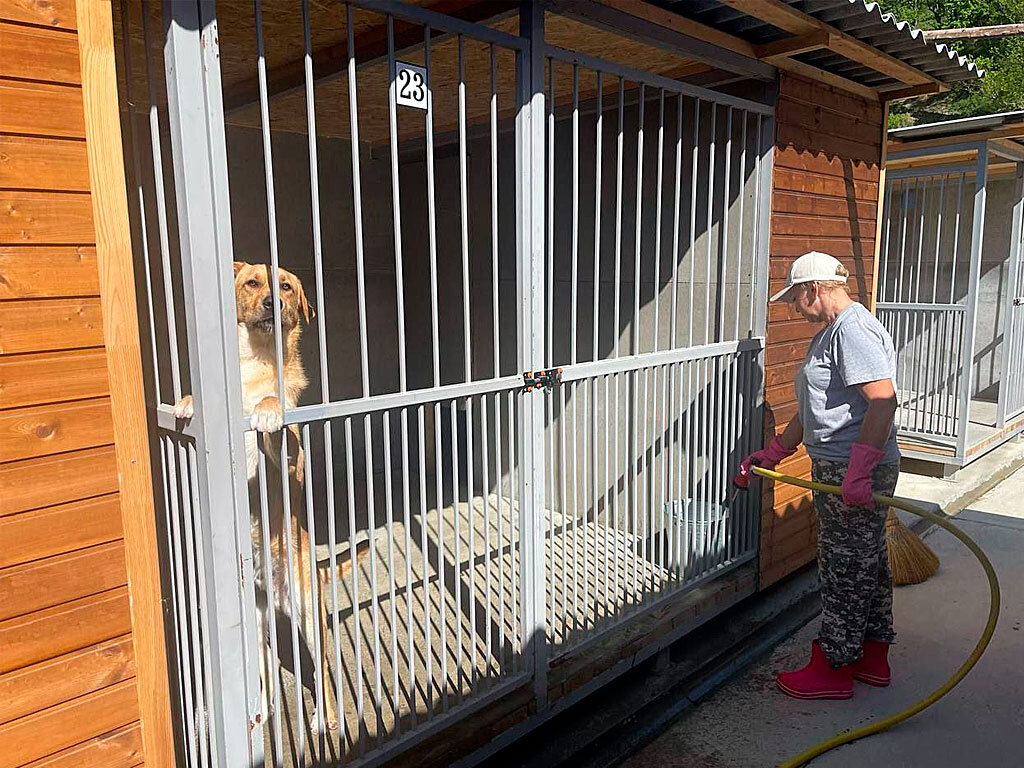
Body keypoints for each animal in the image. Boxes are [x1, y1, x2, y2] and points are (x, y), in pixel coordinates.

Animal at [175, 262, 368, 737]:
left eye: (286, 286)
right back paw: (260, 711)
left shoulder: (290, 458)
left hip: (309, 619)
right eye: (253, 283)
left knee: (323, 672)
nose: (272, 303)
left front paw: (266, 409)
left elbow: (274, 419)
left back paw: (326, 718)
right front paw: (188, 402)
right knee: (263, 675)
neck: (255, 364)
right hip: (256, 626)